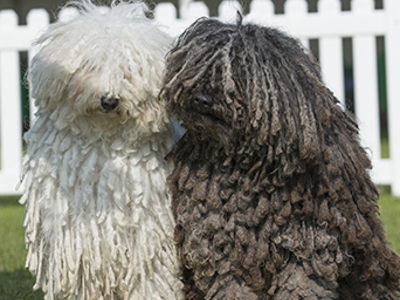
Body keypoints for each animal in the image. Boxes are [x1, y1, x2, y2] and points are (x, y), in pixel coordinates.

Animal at [19, 1, 184, 298]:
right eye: (91, 66)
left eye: (128, 71)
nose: (109, 100)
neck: (103, 141)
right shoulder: (74, 241)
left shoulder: (148, 238)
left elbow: (149, 279)